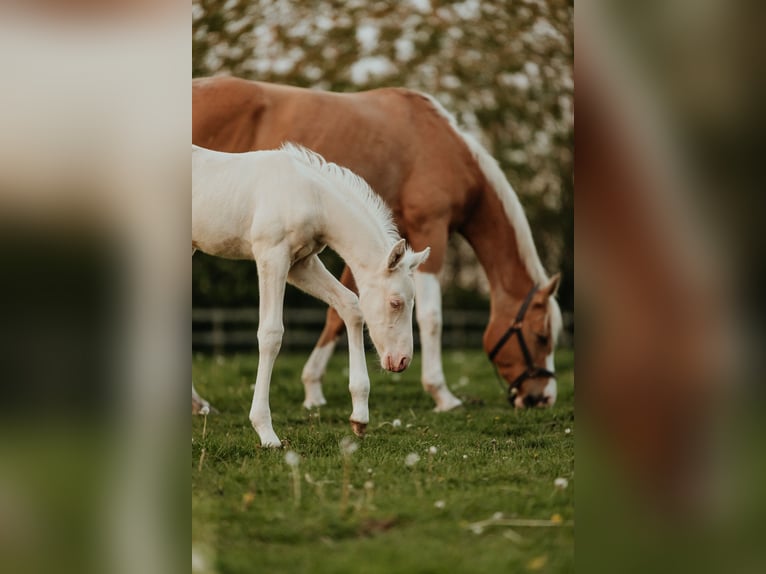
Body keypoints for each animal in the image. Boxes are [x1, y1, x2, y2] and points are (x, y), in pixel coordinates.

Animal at [192, 76, 564, 412]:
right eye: (542, 337)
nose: (543, 397)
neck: (444, 146)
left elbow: (341, 312)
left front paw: (313, 388)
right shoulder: (429, 228)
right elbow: (431, 317)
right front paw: (442, 394)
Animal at [194, 144, 432, 450]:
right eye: (396, 302)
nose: (402, 361)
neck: (311, 198)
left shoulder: (301, 264)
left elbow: (351, 304)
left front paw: (360, 416)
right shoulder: (272, 255)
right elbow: (271, 334)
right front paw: (266, 432)